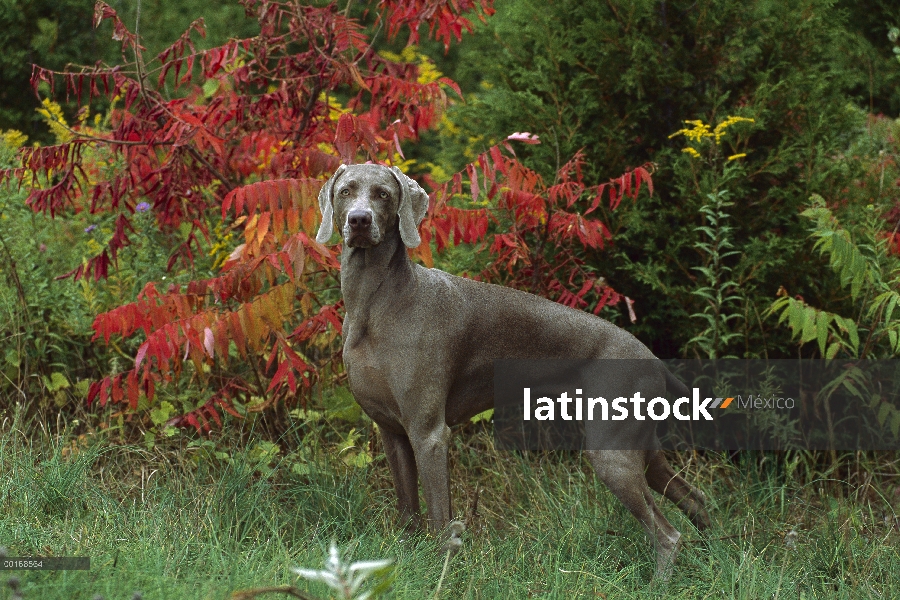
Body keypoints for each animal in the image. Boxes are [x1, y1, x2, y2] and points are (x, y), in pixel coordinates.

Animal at [316, 162, 712, 580]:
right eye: (346, 191)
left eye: (383, 194)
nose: (360, 220)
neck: (375, 303)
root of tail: (652, 359)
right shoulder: (392, 432)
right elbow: (408, 512)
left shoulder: (429, 434)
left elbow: (440, 520)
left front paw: (442, 574)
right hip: (642, 449)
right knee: (695, 498)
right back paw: (716, 554)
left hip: (613, 455)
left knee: (667, 534)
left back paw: (661, 582)